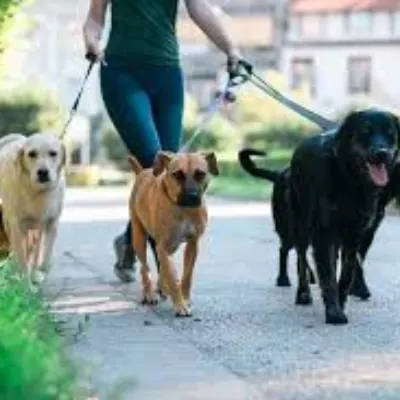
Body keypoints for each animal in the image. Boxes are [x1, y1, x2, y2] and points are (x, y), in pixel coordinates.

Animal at [127, 150, 219, 316]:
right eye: (177, 175)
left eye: (200, 174)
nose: (192, 196)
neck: (183, 209)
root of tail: (142, 172)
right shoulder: (163, 246)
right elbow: (172, 275)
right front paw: (179, 304)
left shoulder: (193, 244)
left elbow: (187, 275)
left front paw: (185, 298)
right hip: (138, 237)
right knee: (145, 268)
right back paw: (149, 293)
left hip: (172, 246)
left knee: (161, 267)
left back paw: (162, 287)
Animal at [290, 109, 400, 324]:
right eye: (365, 132)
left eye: (390, 134)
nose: (382, 153)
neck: (351, 180)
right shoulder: (324, 233)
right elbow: (328, 276)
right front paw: (334, 313)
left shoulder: (354, 235)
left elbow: (347, 273)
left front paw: (340, 303)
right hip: (300, 226)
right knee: (301, 258)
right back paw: (303, 294)